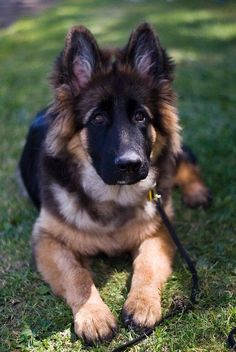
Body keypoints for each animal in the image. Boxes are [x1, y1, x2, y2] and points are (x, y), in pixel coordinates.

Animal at [18, 22, 210, 344]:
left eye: (140, 116)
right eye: (97, 118)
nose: (131, 164)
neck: (113, 197)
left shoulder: (158, 230)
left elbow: (146, 266)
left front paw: (142, 304)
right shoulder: (47, 239)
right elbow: (77, 275)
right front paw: (93, 315)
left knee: (186, 163)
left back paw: (197, 192)